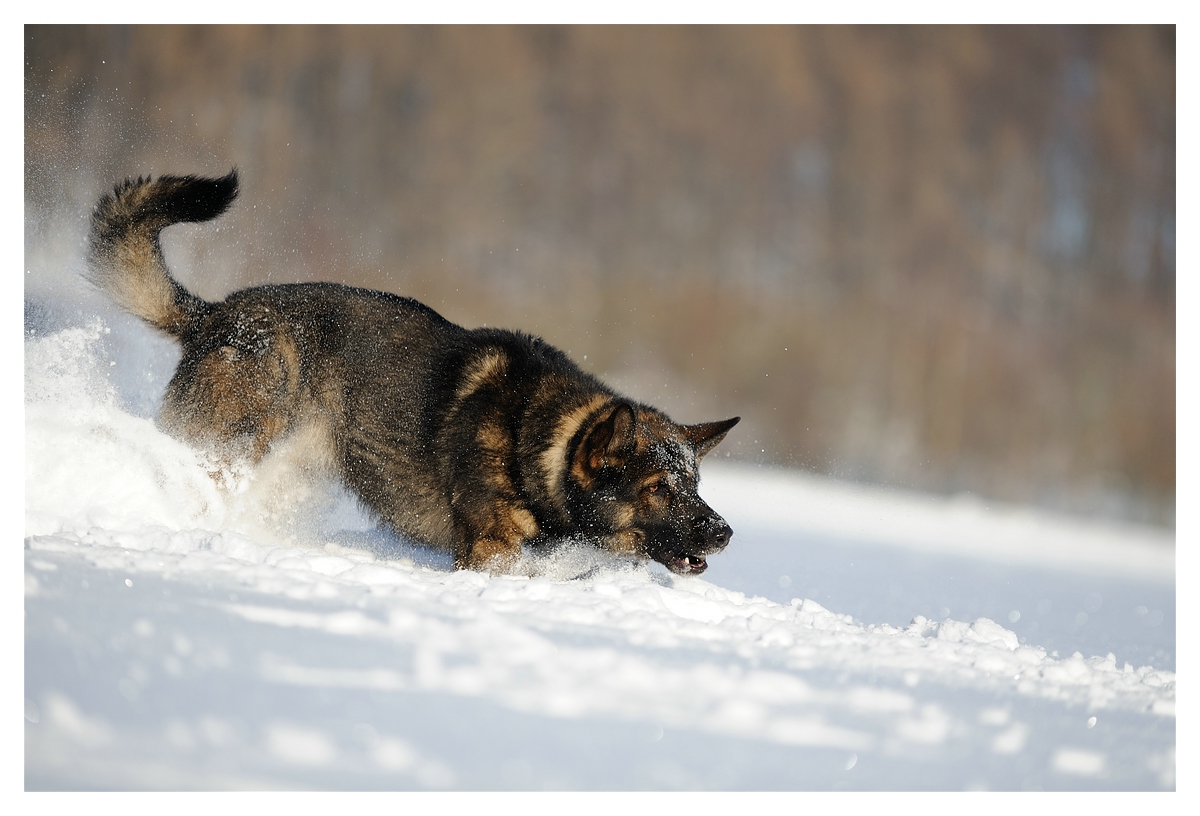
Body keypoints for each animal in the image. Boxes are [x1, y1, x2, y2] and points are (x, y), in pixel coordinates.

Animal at [84, 170, 734, 573]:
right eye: (659, 488)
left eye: (695, 484)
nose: (724, 532)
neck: (535, 438)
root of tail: (215, 313)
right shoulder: (491, 553)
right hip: (233, 443)